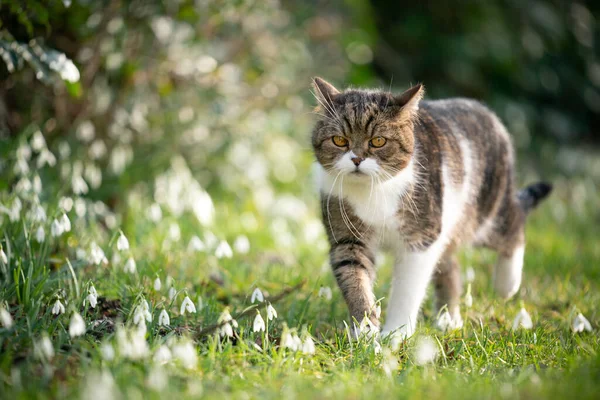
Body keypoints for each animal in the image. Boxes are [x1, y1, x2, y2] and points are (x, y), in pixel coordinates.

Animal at [312, 77, 552, 338]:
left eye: (378, 141)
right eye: (339, 140)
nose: (356, 159)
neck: (372, 191)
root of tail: (487, 112)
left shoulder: (421, 239)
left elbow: (407, 290)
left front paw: (396, 333)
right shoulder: (348, 239)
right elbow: (355, 278)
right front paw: (365, 329)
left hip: (485, 212)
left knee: (514, 223)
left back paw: (507, 284)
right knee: (451, 266)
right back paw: (449, 319)